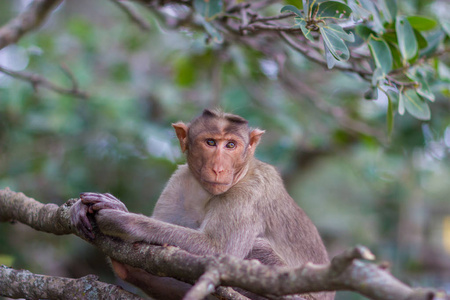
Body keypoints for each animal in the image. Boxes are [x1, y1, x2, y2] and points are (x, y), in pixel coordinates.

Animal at [71, 109, 334, 300]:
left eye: (231, 145)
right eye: (210, 142)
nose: (218, 168)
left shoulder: (250, 192)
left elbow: (218, 249)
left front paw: (123, 220)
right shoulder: (179, 181)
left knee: (258, 247)